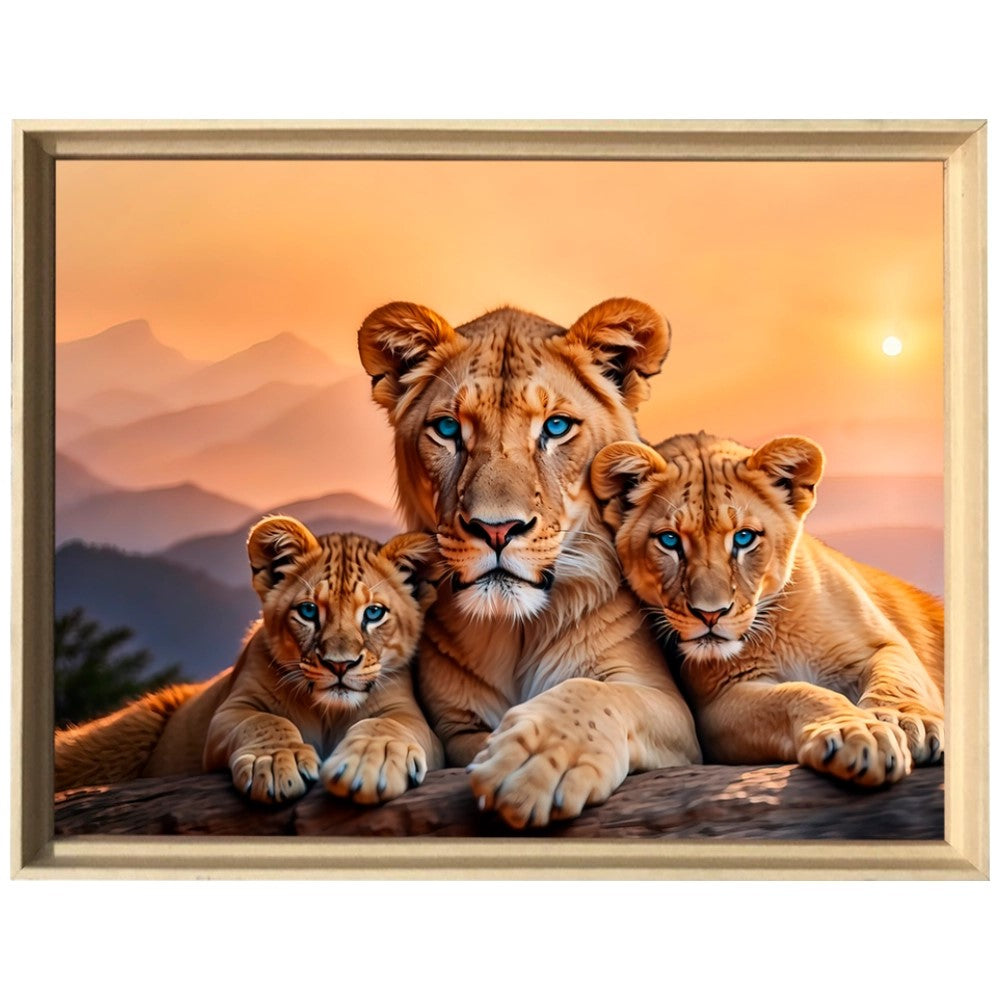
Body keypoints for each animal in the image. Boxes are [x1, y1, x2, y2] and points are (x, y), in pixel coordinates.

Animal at [55, 518, 444, 804]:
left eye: (374, 613)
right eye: (308, 612)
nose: (339, 665)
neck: (328, 712)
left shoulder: (413, 718)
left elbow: (385, 726)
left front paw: (368, 763)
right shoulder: (228, 712)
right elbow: (264, 721)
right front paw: (275, 763)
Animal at [357, 298, 701, 828]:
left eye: (556, 427)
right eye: (448, 429)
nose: (496, 529)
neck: (516, 630)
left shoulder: (672, 710)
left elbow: (600, 692)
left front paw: (538, 759)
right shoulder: (454, 723)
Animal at [590, 431, 944, 786]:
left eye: (744, 538)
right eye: (669, 540)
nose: (710, 614)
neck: (775, 627)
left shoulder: (882, 644)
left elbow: (897, 676)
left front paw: (905, 723)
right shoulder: (717, 704)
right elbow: (797, 693)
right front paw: (856, 732)